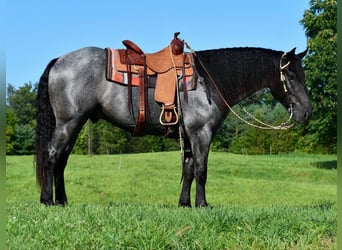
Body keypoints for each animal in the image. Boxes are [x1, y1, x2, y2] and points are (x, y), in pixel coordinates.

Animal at [35, 42, 312, 207]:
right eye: (289, 75)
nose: (307, 112)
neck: (209, 81)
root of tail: (59, 60)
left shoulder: (189, 135)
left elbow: (188, 170)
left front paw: (184, 204)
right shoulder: (201, 133)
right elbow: (201, 169)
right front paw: (202, 205)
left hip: (75, 124)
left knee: (61, 161)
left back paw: (62, 201)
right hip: (68, 123)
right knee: (51, 156)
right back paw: (47, 200)